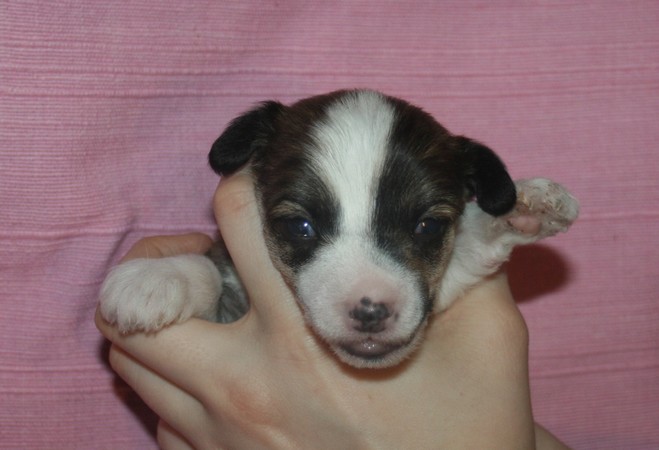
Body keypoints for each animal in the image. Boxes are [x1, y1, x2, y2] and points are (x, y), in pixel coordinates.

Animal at [100, 89, 579, 369]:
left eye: (428, 226)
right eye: (300, 226)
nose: (370, 311)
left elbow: (466, 251)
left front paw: (526, 204)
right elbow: (211, 271)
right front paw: (160, 277)